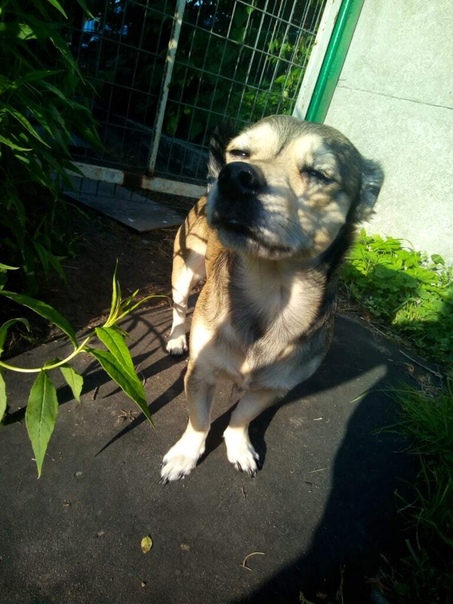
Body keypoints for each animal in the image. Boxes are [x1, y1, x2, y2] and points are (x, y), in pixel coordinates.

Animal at [161, 115, 383, 483]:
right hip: (184, 270)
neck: (272, 292)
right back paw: (178, 340)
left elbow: (241, 418)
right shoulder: (200, 374)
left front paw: (238, 446)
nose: (234, 175)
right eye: (239, 152)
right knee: (179, 310)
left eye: (318, 173)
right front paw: (185, 455)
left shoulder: (273, 389)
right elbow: (199, 421)